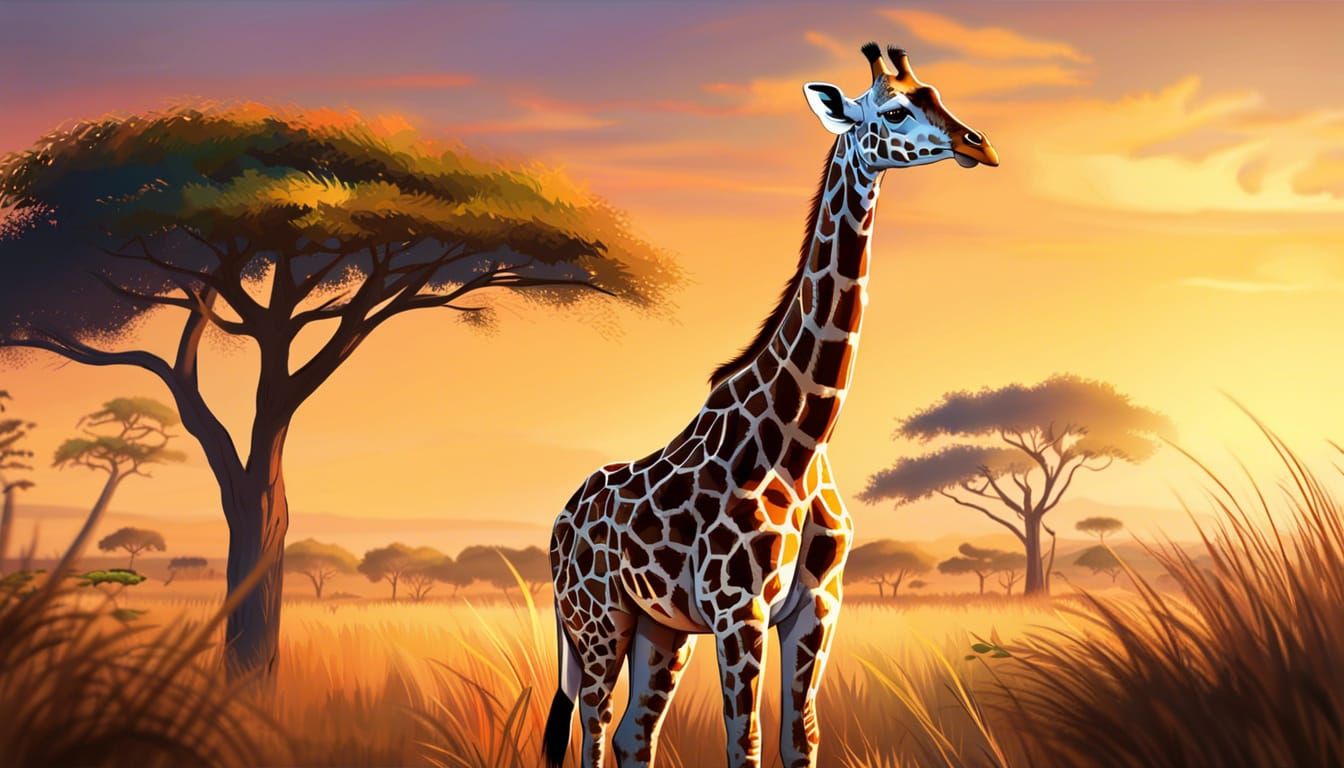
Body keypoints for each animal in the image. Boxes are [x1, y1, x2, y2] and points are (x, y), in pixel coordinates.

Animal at [544, 43, 998, 768]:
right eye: (895, 111)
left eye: (937, 94)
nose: (977, 145)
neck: (803, 438)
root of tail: (558, 523)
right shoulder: (740, 608)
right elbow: (746, 741)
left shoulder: (818, 606)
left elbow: (800, 736)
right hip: (595, 619)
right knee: (593, 726)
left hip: (659, 627)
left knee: (632, 734)